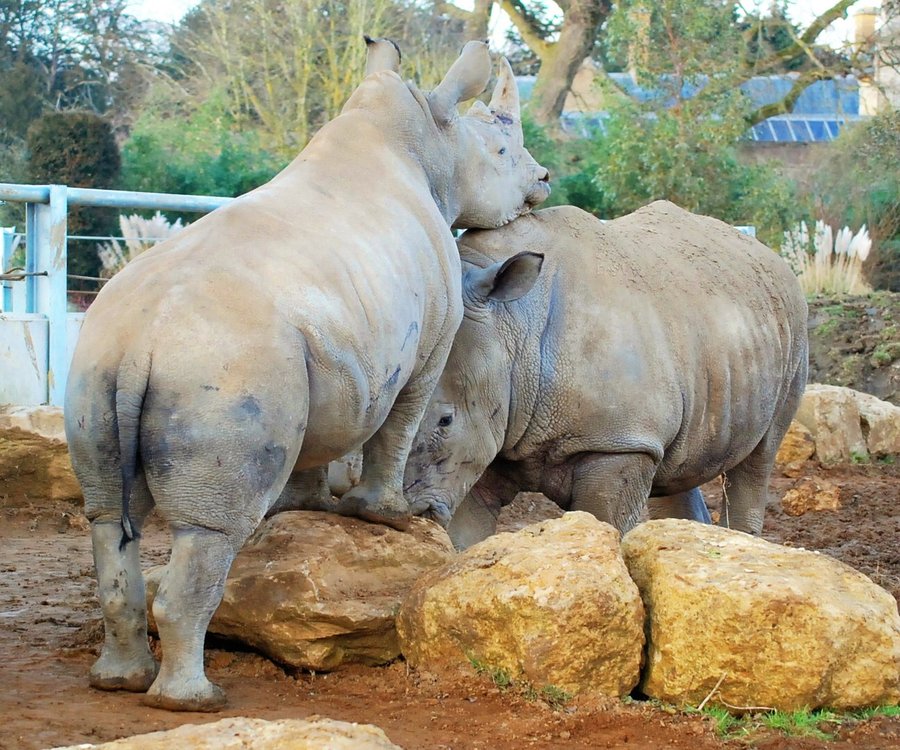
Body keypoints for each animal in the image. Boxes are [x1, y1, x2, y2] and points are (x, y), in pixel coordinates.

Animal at [64, 37, 549, 711]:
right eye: (502, 153)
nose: (543, 180)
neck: (430, 138)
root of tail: (143, 341)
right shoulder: (432, 340)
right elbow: (399, 426)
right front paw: (387, 515)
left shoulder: (333, 355)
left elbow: (323, 437)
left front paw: (307, 507)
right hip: (229, 368)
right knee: (211, 528)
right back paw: (195, 700)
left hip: (101, 361)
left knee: (108, 513)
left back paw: (120, 681)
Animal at [403, 202, 808, 549]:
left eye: (445, 420)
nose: (413, 511)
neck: (514, 327)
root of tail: (768, 253)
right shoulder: (487, 440)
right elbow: (467, 536)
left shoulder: (619, 441)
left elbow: (605, 523)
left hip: (793, 327)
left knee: (759, 456)